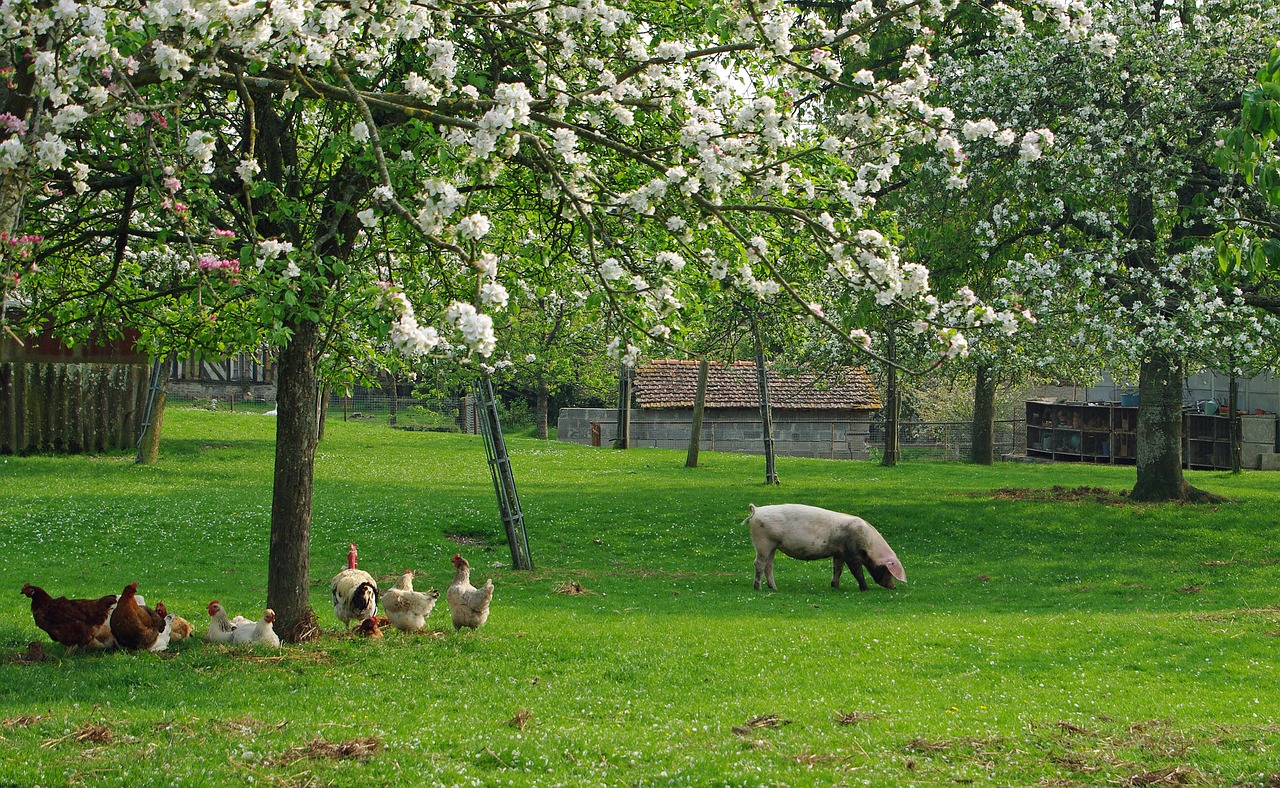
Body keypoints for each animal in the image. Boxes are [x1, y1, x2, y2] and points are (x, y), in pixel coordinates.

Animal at [747, 504, 906, 591]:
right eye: (888, 571)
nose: (893, 586)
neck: (869, 545)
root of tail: (756, 510)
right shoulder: (851, 554)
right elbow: (857, 572)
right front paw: (865, 589)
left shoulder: (839, 553)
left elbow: (837, 569)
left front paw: (835, 586)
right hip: (763, 542)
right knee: (759, 563)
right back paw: (758, 588)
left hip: (773, 545)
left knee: (769, 565)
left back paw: (774, 588)